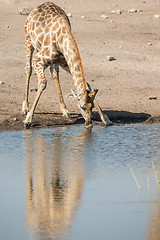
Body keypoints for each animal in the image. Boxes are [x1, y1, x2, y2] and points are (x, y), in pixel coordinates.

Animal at [21, 0, 112, 128]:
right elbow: (43, 83)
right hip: (28, 40)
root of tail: (37, 6)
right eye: (81, 107)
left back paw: (64, 110)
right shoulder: (38, 60)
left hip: (52, 60)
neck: (62, 40)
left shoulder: (66, 62)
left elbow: (87, 85)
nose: (89, 124)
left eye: (92, 106)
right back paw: (24, 108)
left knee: (54, 73)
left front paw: (106, 119)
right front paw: (28, 119)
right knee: (28, 68)